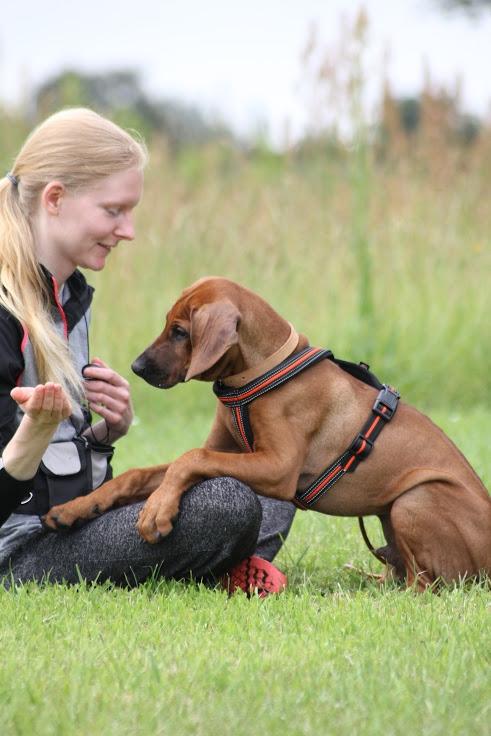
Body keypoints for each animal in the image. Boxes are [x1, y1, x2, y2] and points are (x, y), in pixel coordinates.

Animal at [43, 276, 491, 592]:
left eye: (180, 332)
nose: (136, 367)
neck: (257, 375)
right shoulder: (228, 450)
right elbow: (147, 473)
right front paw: (75, 508)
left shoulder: (278, 468)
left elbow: (191, 458)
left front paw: (157, 511)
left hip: (414, 501)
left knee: (428, 584)